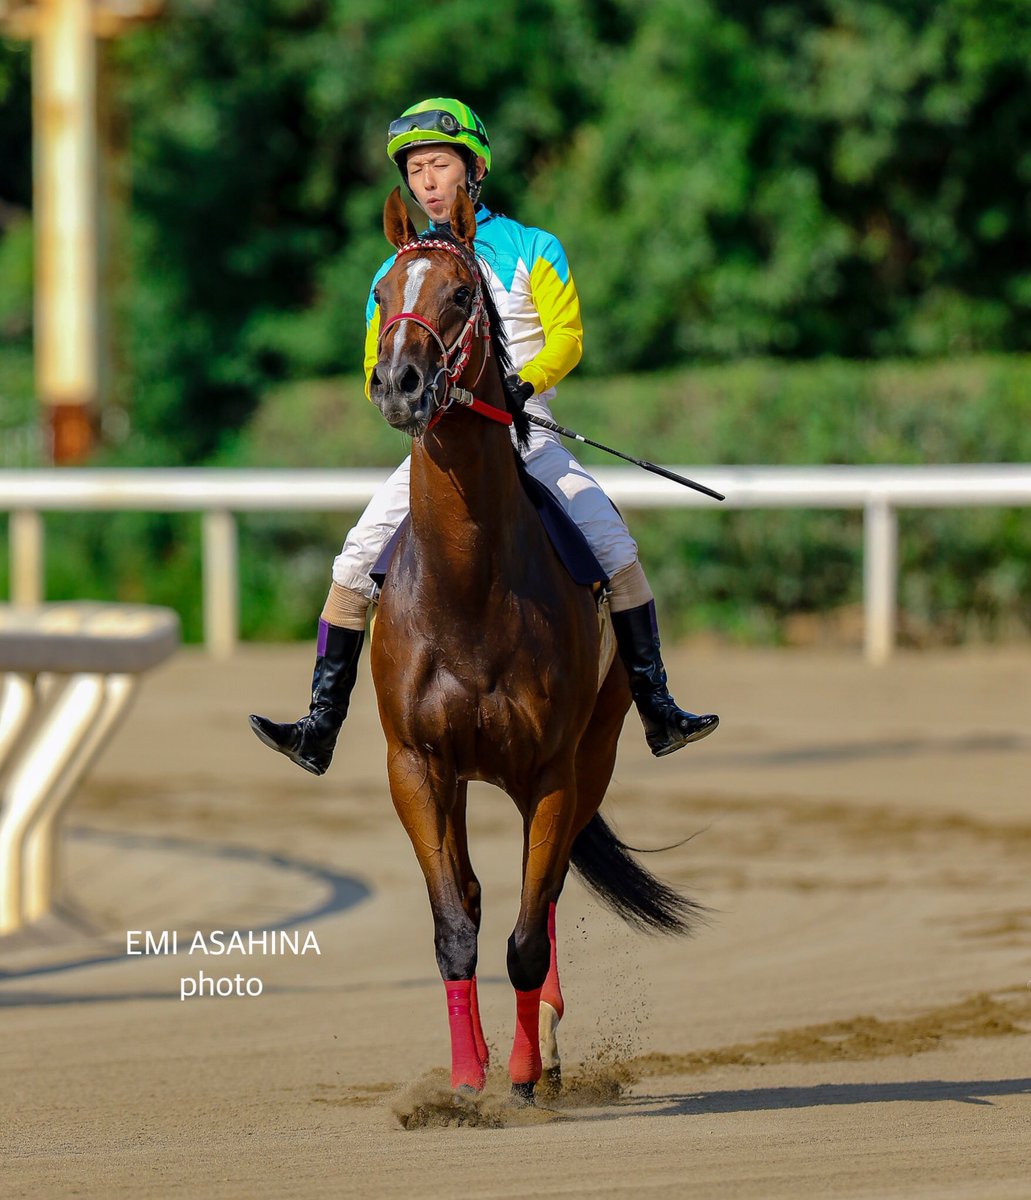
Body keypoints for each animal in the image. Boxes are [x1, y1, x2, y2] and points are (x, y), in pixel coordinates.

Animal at [368, 185, 703, 1104]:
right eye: (381, 294)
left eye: (459, 294)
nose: (400, 385)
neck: (467, 586)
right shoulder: (416, 765)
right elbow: (456, 923)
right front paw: (466, 1079)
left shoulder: (551, 768)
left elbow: (524, 929)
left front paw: (521, 1073)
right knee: (490, 895)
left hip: (593, 753)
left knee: (541, 899)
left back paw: (543, 1048)